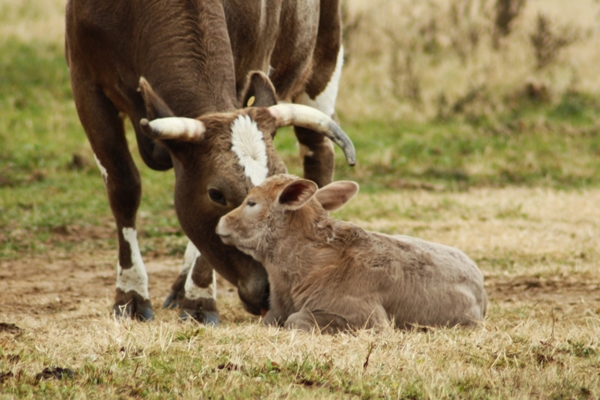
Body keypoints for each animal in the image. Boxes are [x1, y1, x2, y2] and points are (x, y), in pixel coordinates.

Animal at [64, 0, 356, 324]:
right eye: (216, 194)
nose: (272, 289)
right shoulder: (86, 82)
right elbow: (123, 187)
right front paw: (131, 295)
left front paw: (200, 300)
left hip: (322, 68)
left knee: (319, 154)